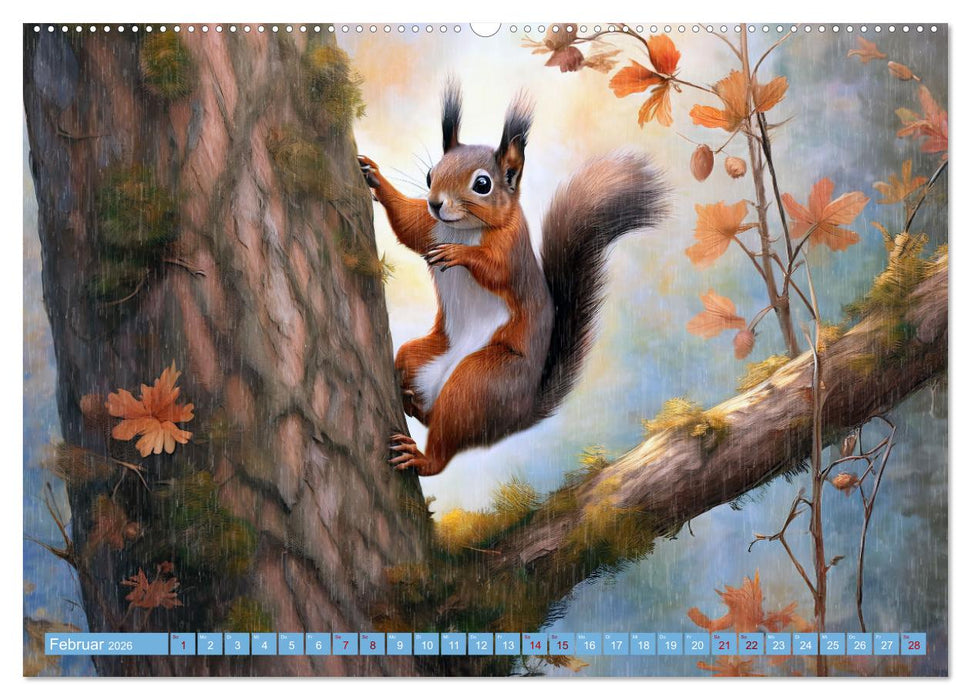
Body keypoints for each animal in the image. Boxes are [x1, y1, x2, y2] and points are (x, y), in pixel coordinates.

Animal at [358, 81, 667, 477]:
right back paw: (408, 397)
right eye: (430, 174)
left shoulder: (511, 251)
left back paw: (422, 456)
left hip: (484, 381)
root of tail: (521, 414)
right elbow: (408, 225)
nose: (436, 203)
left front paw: (460, 256)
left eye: (483, 184)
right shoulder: (431, 229)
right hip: (421, 356)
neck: (463, 230)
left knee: (446, 441)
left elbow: (497, 271)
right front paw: (375, 177)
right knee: (425, 404)